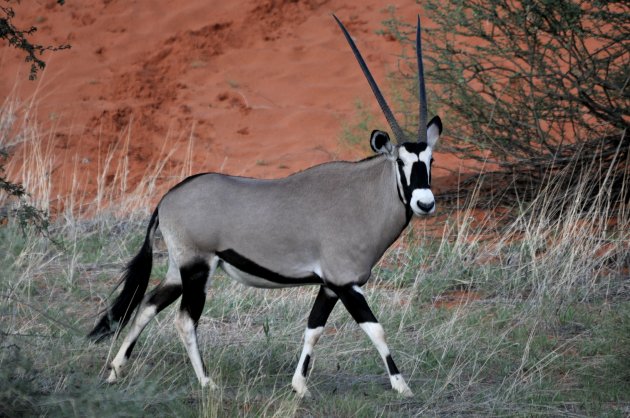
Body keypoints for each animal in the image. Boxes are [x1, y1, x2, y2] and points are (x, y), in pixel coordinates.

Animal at [89, 14, 444, 396]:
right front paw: (402, 387)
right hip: (197, 268)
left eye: (430, 161)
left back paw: (116, 370)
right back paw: (207, 382)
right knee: (184, 320)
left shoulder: (329, 286)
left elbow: (313, 329)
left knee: (147, 307)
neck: (363, 196)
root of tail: (167, 198)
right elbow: (376, 330)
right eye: (402, 163)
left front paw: (299, 386)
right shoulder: (346, 283)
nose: (425, 203)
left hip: (177, 269)